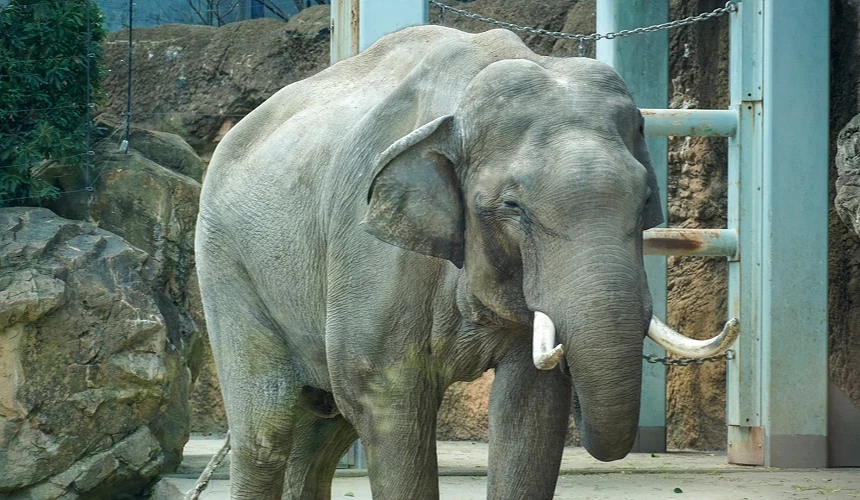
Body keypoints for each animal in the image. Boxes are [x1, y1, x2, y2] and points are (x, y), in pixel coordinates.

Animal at [195, 24, 736, 500]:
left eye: (645, 200)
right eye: (512, 207)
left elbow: (530, 409)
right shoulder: (368, 251)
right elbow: (383, 397)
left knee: (321, 429)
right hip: (225, 264)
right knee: (267, 429)